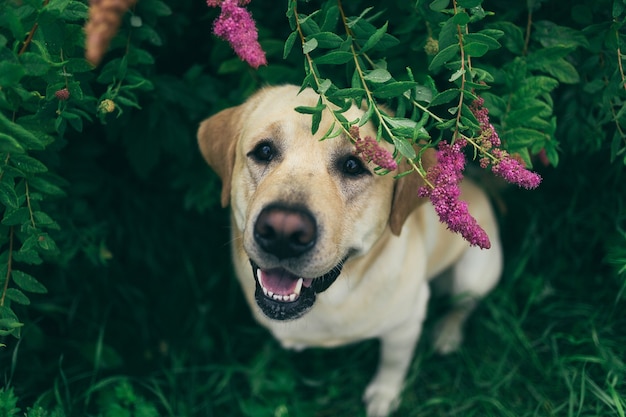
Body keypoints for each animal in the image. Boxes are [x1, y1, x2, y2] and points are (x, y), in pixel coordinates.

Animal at [197, 85, 500, 416]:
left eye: (353, 166)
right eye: (264, 151)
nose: (283, 232)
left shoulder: (406, 323)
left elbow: (394, 363)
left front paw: (384, 395)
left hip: (471, 277)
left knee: (463, 305)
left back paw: (447, 333)